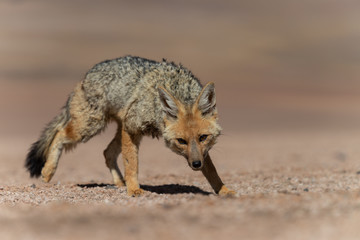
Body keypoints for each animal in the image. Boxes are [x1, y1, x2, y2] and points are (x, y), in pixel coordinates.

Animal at [26, 56, 238, 197]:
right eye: (181, 141)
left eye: (203, 138)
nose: (195, 165)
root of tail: (86, 75)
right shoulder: (132, 128)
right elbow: (132, 163)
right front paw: (134, 189)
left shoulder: (202, 152)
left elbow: (212, 170)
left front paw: (223, 190)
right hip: (89, 127)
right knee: (60, 133)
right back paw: (48, 171)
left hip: (112, 129)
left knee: (107, 152)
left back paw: (119, 183)